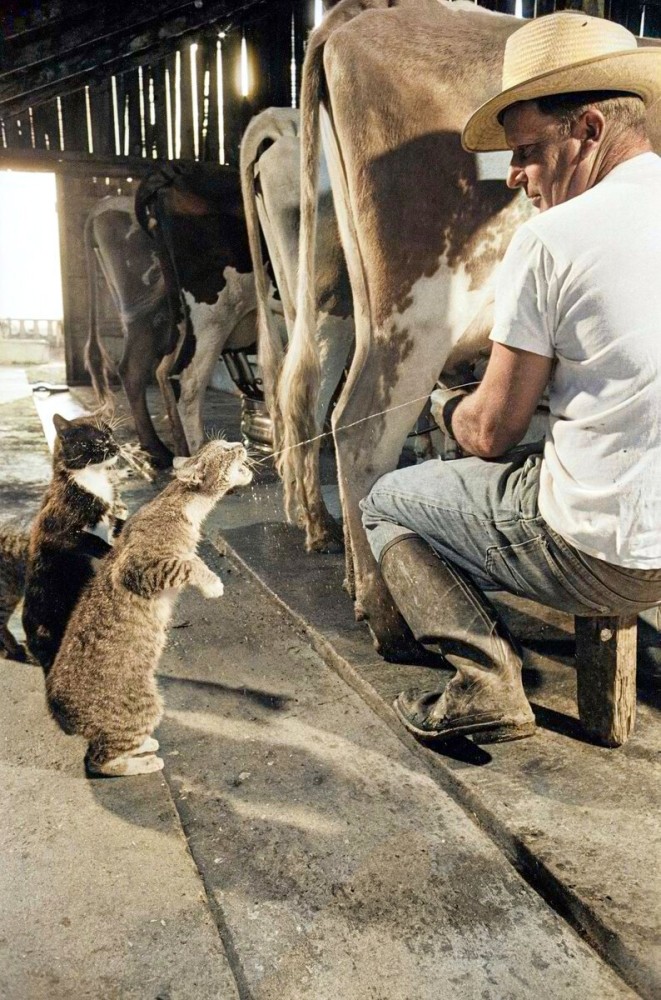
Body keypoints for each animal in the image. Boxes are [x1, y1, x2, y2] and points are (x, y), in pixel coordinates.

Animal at [21, 410, 125, 676]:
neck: (93, 481)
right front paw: (112, 552)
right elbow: (91, 539)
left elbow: (119, 523)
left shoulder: (110, 519)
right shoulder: (54, 532)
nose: (115, 445)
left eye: (111, 433)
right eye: (97, 440)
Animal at [45, 442, 253, 776]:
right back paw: (143, 761)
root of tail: (57, 710)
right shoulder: (138, 568)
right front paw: (212, 584)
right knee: (97, 760)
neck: (184, 506)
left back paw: (143, 746)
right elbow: (188, 563)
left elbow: (191, 559)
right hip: (145, 705)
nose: (240, 443)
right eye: (224, 450)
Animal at [134, 165, 262, 458]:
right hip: (215, 313)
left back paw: (181, 453)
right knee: (189, 382)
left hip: (182, 313)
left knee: (163, 370)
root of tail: (173, 171)